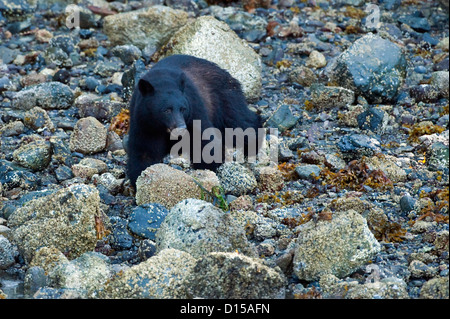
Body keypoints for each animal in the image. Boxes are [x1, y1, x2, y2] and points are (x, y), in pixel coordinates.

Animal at [126, 55, 262, 188]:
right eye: (166, 110)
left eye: (183, 108)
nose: (181, 128)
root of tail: (226, 73)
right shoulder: (144, 123)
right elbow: (144, 151)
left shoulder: (194, 109)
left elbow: (204, 140)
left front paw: (207, 166)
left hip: (225, 99)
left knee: (239, 123)